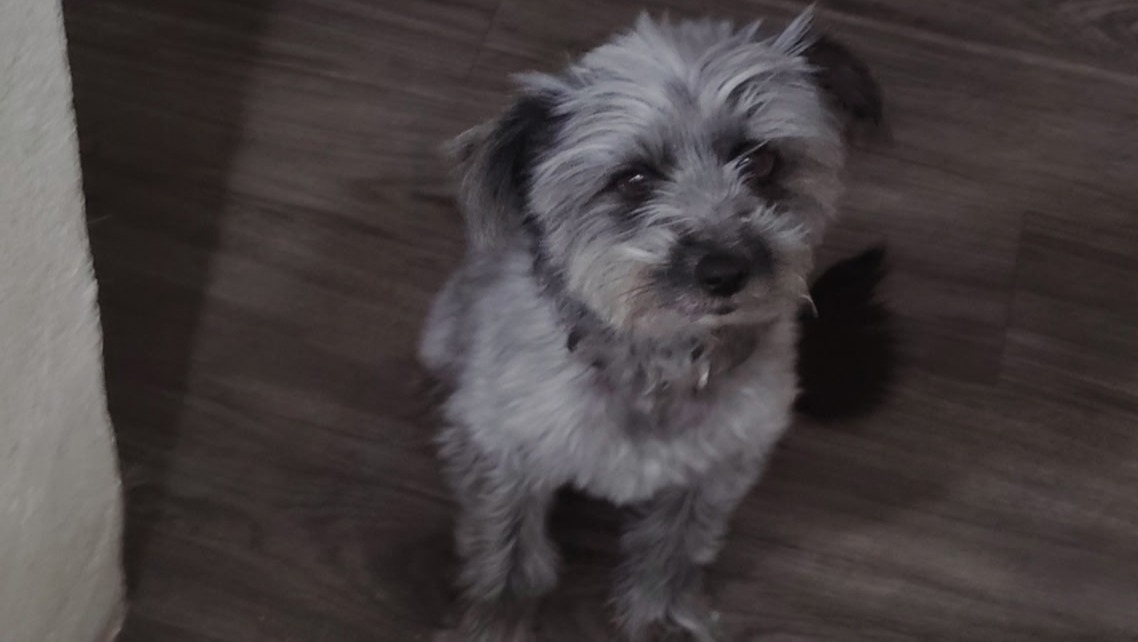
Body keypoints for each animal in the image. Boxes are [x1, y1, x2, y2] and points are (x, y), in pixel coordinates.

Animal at [420, 10, 885, 641]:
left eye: (761, 161)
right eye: (633, 180)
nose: (724, 271)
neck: (658, 360)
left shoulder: (714, 472)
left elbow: (675, 548)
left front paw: (663, 618)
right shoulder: (506, 453)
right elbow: (507, 548)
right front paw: (497, 620)